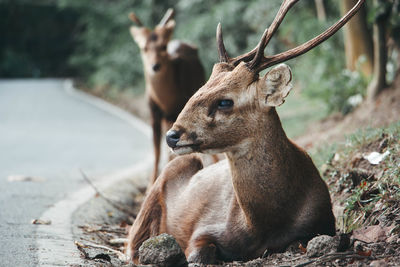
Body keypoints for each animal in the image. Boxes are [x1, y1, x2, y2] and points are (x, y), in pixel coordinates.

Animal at [129, 8, 205, 184]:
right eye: (144, 48)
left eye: (163, 46)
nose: (155, 66)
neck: (166, 101)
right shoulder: (153, 113)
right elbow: (156, 151)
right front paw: (151, 184)